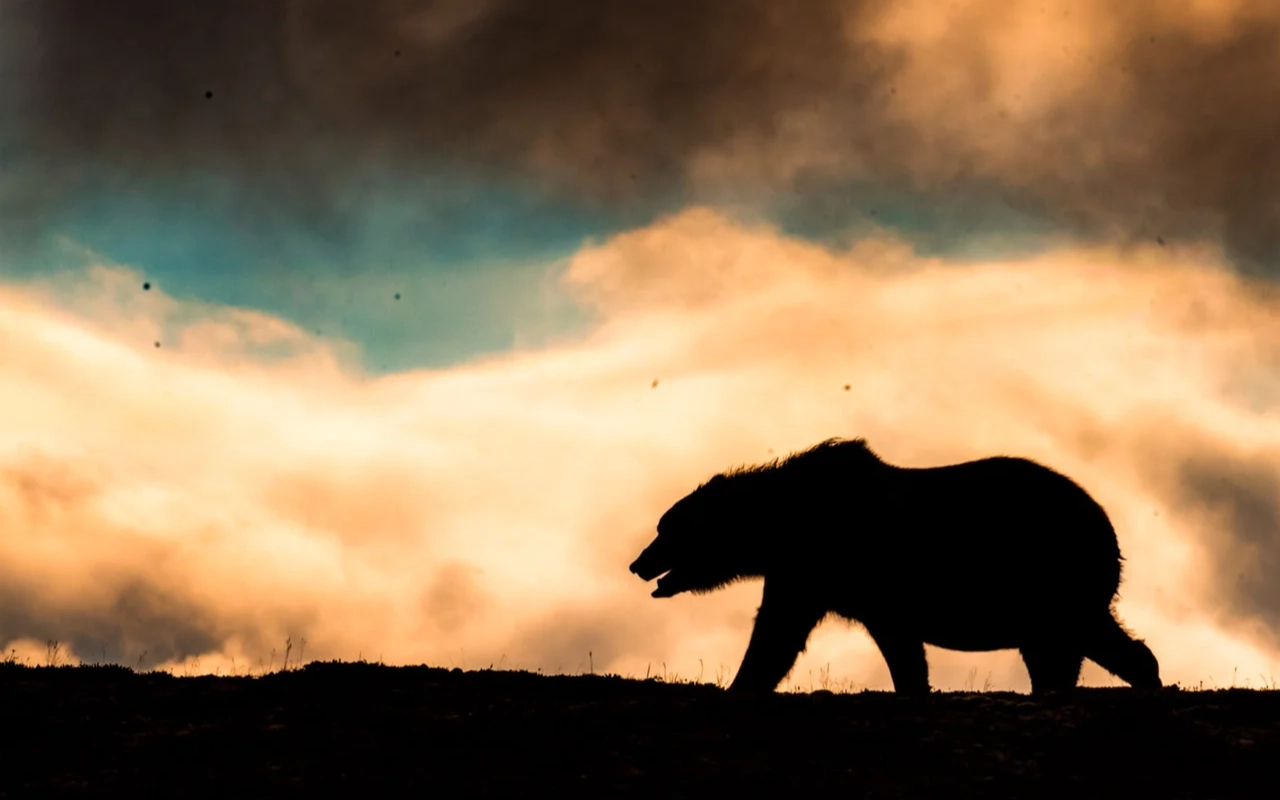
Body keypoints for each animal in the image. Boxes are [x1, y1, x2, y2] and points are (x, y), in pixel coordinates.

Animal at [629, 437, 1162, 695]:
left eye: (665, 529)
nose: (637, 563)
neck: (782, 522)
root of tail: (1105, 522)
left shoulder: (834, 565)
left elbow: (778, 635)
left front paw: (739, 684)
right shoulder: (813, 576)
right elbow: (785, 631)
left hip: (1051, 569)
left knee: (1075, 636)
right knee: (1080, 640)